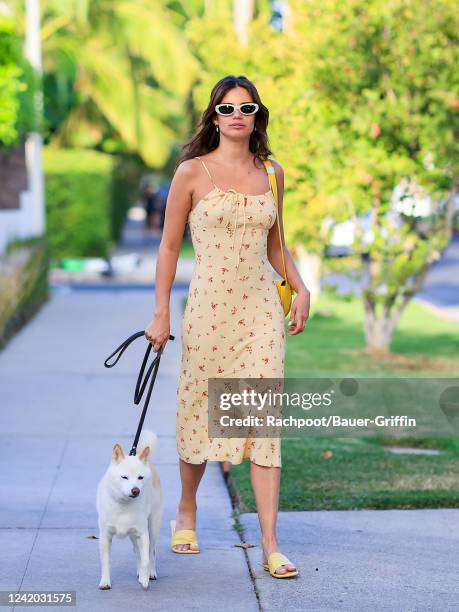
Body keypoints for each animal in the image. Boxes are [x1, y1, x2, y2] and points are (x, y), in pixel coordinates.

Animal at [95, 430, 164, 588]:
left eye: (140, 478)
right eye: (124, 477)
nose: (135, 490)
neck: (123, 504)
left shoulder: (143, 534)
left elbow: (145, 559)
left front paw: (144, 579)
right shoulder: (105, 536)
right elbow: (106, 562)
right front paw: (105, 582)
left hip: (152, 527)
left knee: (152, 551)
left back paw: (150, 573)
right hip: (133, 535)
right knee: (137, 551)